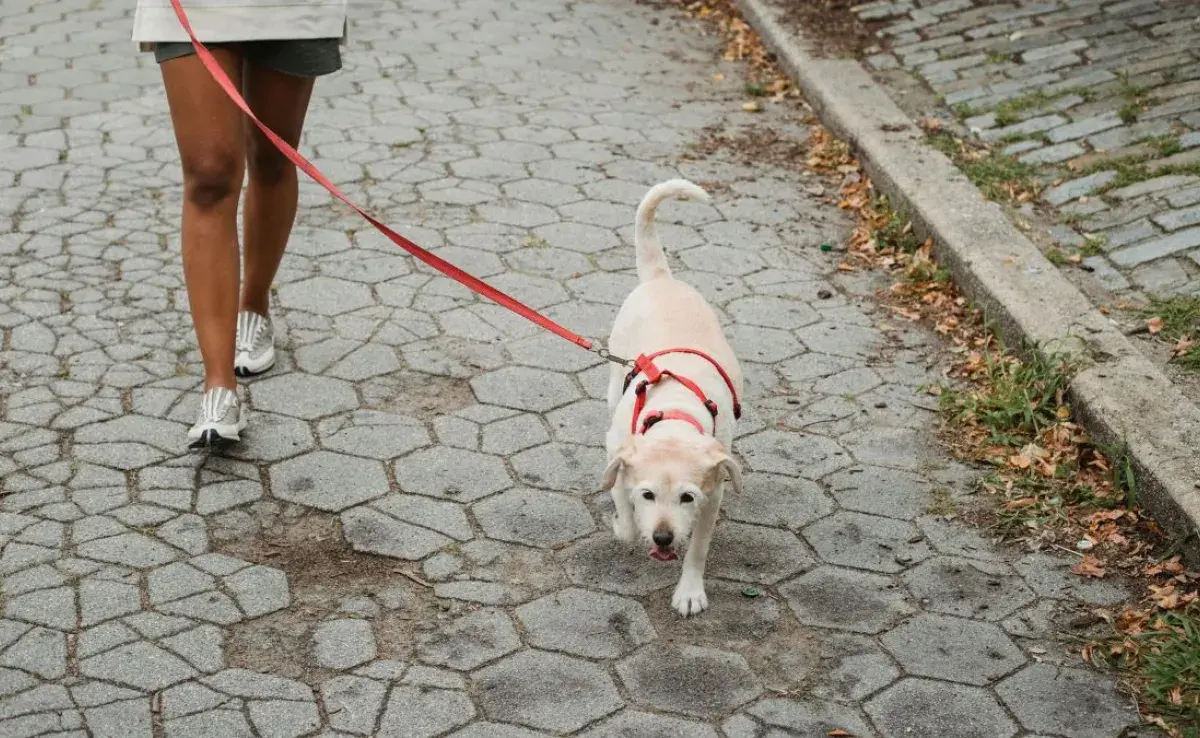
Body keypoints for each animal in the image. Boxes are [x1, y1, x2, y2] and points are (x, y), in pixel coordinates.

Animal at [600, 177, 739, 619]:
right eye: (648, 495)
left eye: (686, 497)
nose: (662, 538)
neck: (675, 413)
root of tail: (661, 279)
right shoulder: (618, 454)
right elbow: (626, 516)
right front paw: (624, 523)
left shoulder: (713, 495)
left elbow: (698, 548)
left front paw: (690, 591)